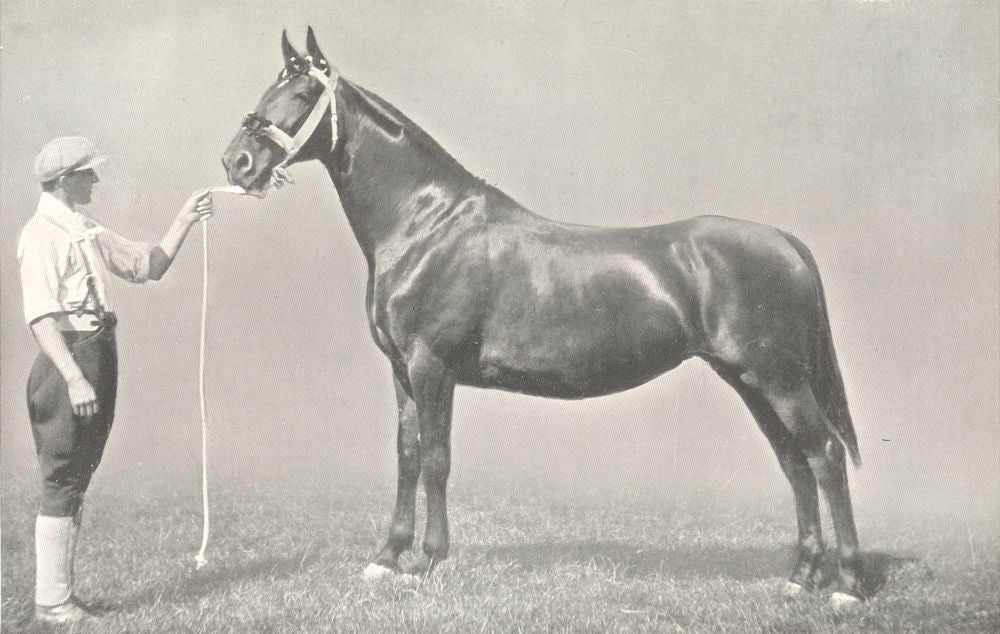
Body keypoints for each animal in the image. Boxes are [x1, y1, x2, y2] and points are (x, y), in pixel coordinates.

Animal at [222, 28, 865, 608]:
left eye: (304, 92)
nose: (237, 161)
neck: (427, 225)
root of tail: (783, 241)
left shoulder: (432, 368)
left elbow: (435, 459)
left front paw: (428, 561)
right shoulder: (402, 370)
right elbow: (406, 455)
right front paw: (386, 557)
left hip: (779, 379)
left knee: (825, 457)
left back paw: (848, 587)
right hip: (751, 380)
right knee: (795, 463)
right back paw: (800, 577)